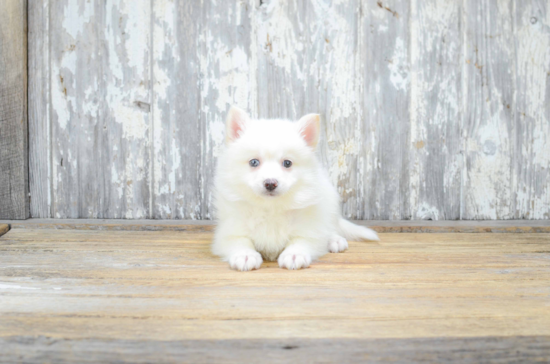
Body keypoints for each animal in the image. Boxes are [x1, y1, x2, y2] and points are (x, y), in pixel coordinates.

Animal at [213, 105, 382, 270]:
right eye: (254, 162)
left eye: (287, 163)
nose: (270, 183)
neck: (271, 207)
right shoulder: (229, 231)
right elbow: (239, 241)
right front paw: (245, 255)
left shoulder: (309, 228)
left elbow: (301, 240)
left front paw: (294, 254)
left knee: (330, 226)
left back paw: (334, 239)